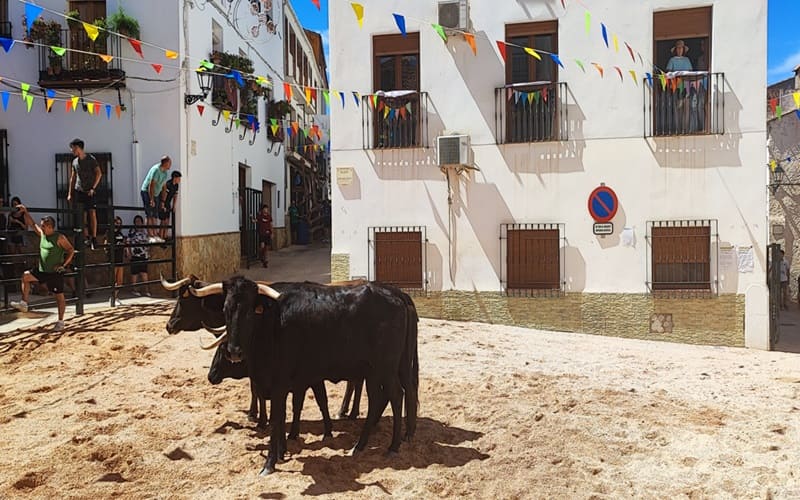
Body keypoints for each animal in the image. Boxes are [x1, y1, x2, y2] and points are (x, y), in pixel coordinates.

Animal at [197, 278, 418, 476]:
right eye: (226, 309)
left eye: (250, 312)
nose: (234, 351)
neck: (272, 324)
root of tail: (395, 296)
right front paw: (281, 452)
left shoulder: (281, 385)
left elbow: (278, 419)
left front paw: (270, 463)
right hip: (376, 371)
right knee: (379, 399)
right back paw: (360, 445)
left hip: (386, 368)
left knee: (396, 395)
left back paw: (393, 446)